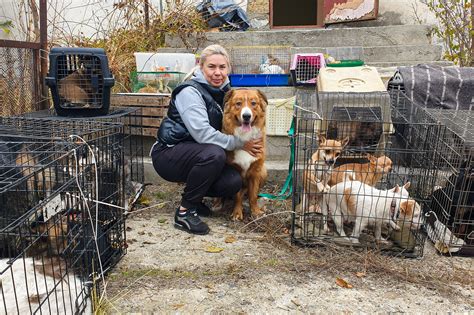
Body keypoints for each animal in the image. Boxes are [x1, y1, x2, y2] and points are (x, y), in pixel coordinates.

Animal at [221, 90, 266, 221]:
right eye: (238, 103)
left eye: (253, 103)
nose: (246, 116)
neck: (245, 137)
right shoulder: (236, 171)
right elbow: (237, 196)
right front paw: (237, 212)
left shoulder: (256, 172)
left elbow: (253, 195)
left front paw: (255, 212)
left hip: (263, 170)